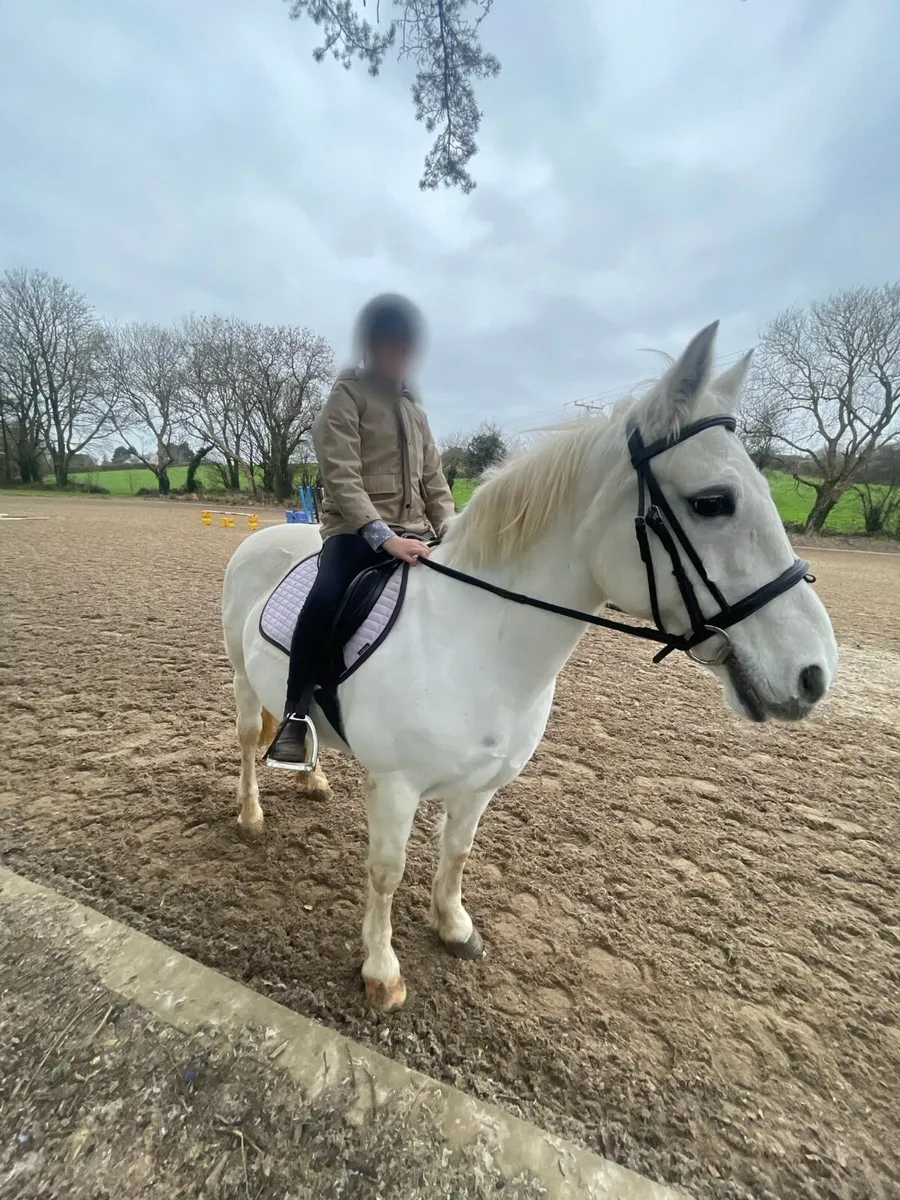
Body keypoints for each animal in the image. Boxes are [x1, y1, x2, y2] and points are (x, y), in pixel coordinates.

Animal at [221, 321, 837, 1012]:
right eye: (713, 502)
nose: (814, 673)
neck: (475, 645)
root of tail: (265, 537)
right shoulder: (397, 787)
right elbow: (386, 873)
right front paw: (382, 971)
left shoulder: (481, 785)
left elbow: (457, 852)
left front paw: (454, 927)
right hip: (243, 683)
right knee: (246, 742)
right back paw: (251, 815)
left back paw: (312, 777)